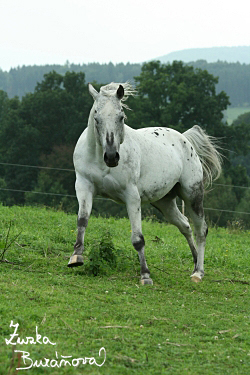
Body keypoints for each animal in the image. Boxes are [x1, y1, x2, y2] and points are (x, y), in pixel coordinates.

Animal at [67, 83, 222, 286]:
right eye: (96, 117)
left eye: (121, 117)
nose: (111, 157)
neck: (100, 160)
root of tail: (185, 138)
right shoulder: (84, 187)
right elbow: (82, 221)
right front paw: (76, 257)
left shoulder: (131, 197)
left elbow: (138, 238)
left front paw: (145, 275)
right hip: (165, 203)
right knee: (185, 226)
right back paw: (196, 262)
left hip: (192, 195)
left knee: (200, 229)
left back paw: (198, 272)